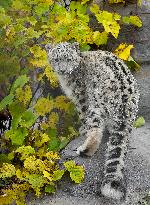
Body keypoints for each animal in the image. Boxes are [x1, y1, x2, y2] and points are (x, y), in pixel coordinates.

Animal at [45, 41, 139, 200]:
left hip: (96, 104)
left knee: (96, 132)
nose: (63, 69)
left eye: (68, 59)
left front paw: (83, 129)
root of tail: (125, 104)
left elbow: (82, 115)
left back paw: (85, 149)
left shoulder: (81, 96)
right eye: (56, 59)